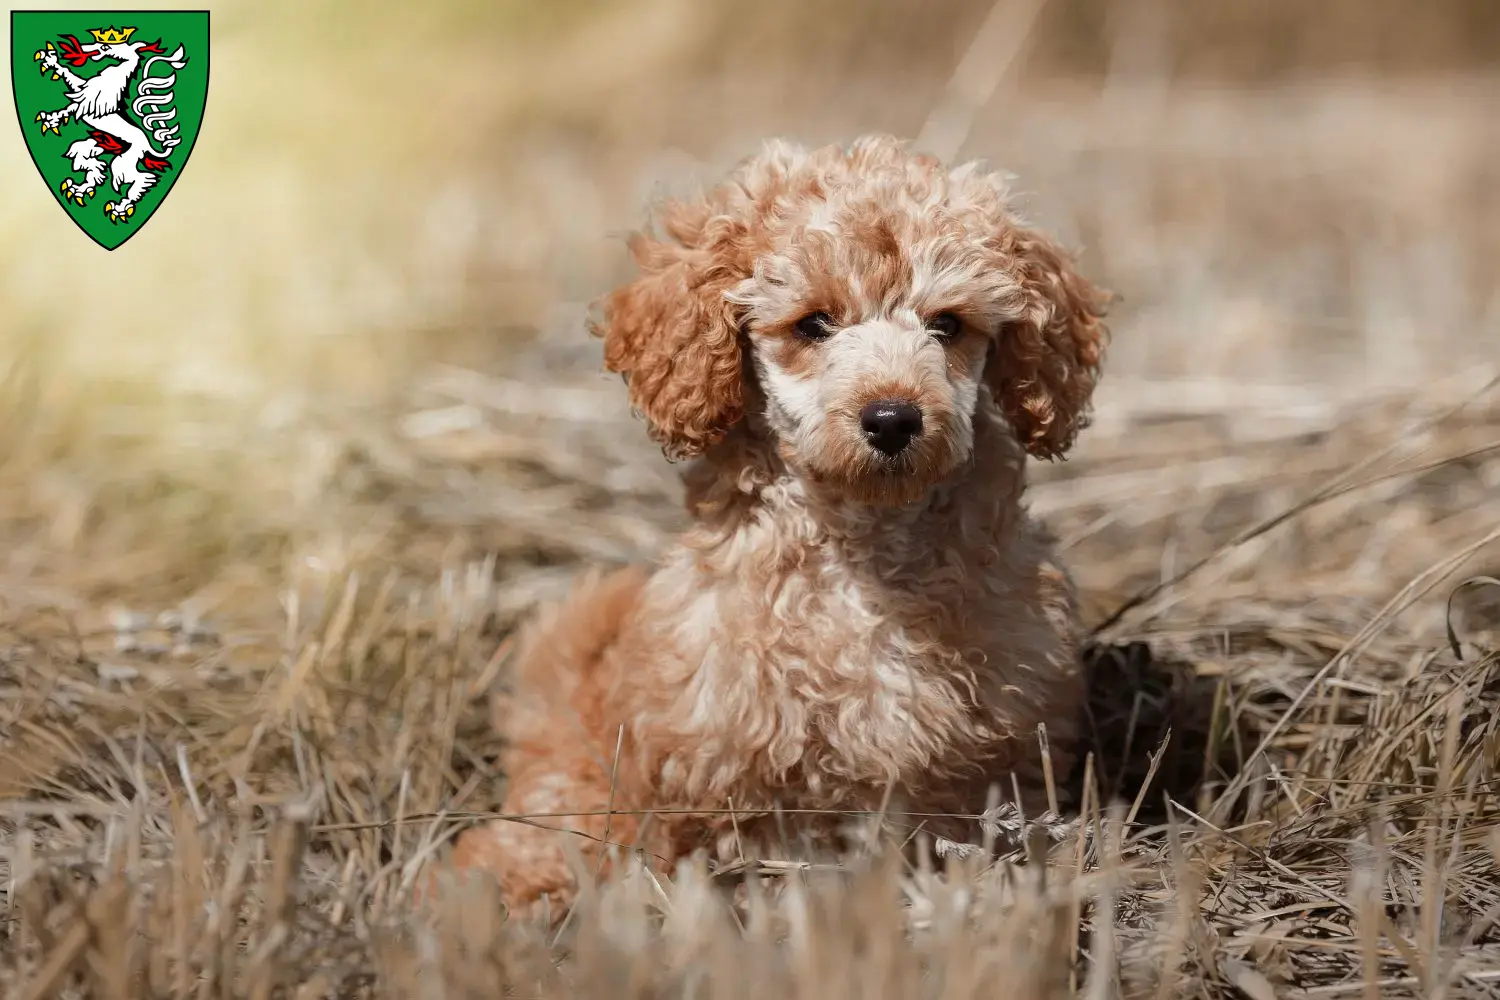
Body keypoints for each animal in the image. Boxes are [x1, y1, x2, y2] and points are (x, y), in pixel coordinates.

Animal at [444, 134, 1116, 923]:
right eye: (813, 324)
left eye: (947, 324)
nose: (893, 418)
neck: (865, 544)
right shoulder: (732, 768)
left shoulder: (997, 751)